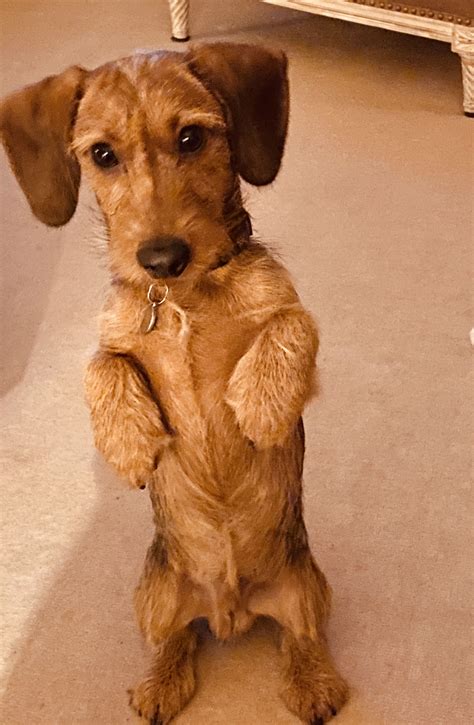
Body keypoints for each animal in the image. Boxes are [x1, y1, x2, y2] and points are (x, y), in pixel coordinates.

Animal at [0, 42, 348, 720]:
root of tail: (233, 611)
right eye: (102, 154)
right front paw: (129, 444)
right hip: (154, 597)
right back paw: (159, 686)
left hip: (307, 589)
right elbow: (100, 365)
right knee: (175, 642)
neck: (184, 298)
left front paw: (261, 409)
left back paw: (314, 684)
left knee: (300, 637)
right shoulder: (112, 337)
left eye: (191, 137)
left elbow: (294, 327)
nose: (161, 258)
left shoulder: (287, 311)